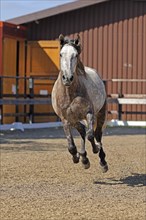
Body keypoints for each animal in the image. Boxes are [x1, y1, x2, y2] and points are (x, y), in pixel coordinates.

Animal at [52, 34, 108, 172]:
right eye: (61, 54)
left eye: (75, 55)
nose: (67, 78)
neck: (70, 93)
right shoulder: (66, 119)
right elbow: (71, 145)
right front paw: (77, 157)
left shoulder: (89, 113)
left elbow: (90, 135)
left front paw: (95, 149)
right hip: (75, 119)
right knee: (82, 130)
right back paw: (83, 158)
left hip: (101, 113)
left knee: (97, 134)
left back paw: (102, 162)